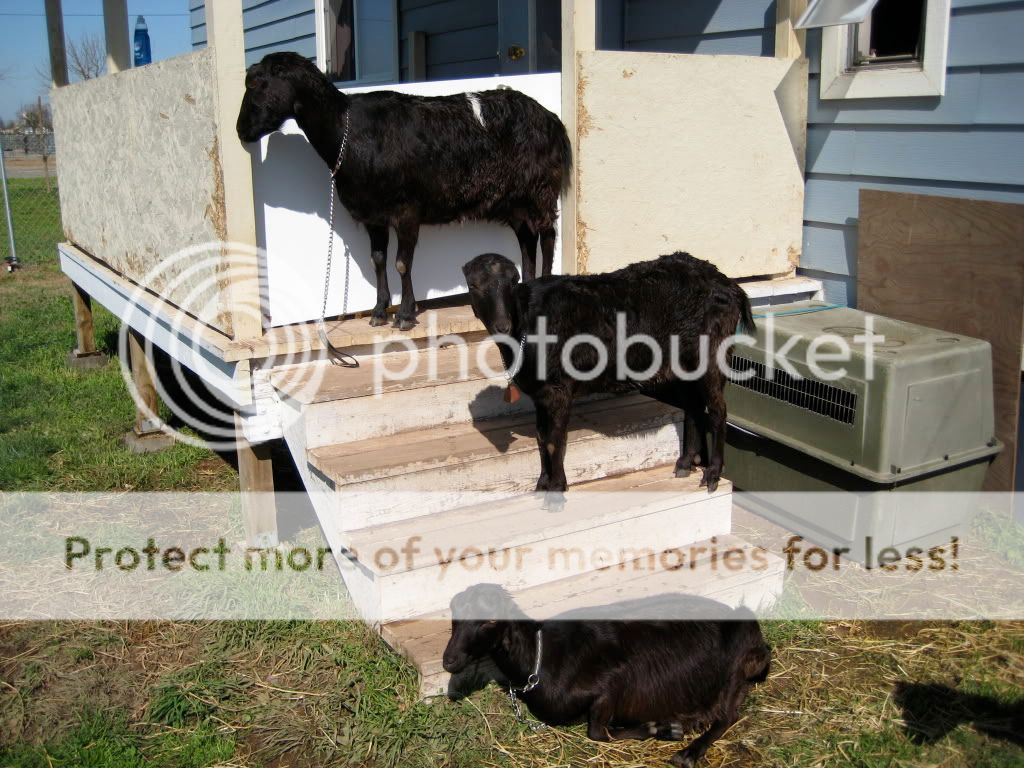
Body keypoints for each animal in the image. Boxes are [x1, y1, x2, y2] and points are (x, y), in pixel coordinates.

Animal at [237, 52, 571, 330]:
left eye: (254, 83)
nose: (241, 130)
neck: (348, 131)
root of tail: (553, 120)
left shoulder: (407, 211)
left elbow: (401, 262)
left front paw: (406, 315)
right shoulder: (374, 215)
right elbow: (378, 259)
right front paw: (379, 311)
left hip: (540, 191)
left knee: (547, 236)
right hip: (515, 202)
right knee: (526, 239)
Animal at [442, 584, 771, 767]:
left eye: (490, 620)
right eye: (454, 613)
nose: (449, 661)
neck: (540, 656)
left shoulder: (612, 683)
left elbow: (598, 732)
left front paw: (660, 728)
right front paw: (662, 728)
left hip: (738, 663)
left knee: (728, 715)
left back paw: (689, 751)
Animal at [462, 252, 754, 493]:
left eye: (513, 283)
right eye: (473, 286)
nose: (502, 325)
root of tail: (731, 286)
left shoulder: (558, 389)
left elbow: (555, 439)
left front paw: (556, 487)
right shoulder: (542, 394)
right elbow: (541, 437)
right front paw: (542, 483)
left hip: (711, 355)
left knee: (717, 410)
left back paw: (712, 473)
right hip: (682, 364)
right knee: (693, 406)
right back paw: (684, 464)